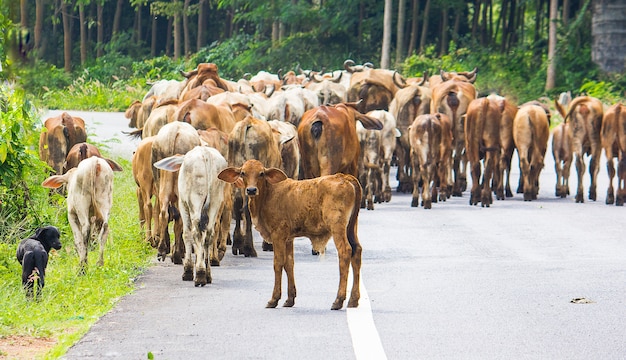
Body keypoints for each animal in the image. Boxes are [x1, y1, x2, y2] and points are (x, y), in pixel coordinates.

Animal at [217, 159, 360, 310]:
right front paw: (290, 299)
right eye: (243, 173)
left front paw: (274, 299)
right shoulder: (288, 239)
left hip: (338, 227)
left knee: (345, 252)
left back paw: (338, 300)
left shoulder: (278, 235)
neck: (268, 193)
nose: (251, 190)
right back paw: (353, 300)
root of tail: (344, 177)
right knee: (357, 251)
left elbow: (278, 263)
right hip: (351, 227)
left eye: (261, 173)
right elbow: (289, 264)